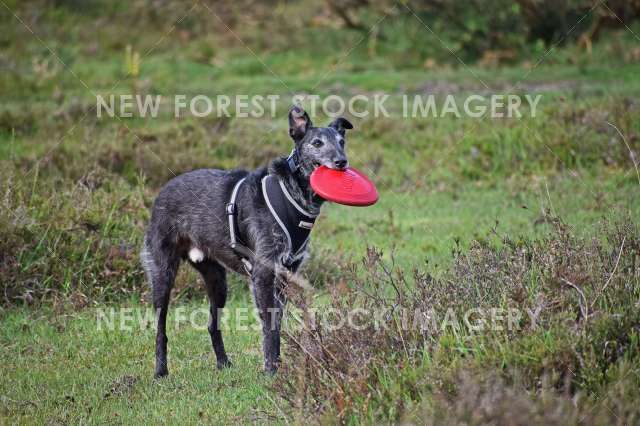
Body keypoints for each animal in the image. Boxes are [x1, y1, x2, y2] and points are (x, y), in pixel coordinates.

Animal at [141, 105, 352, 376]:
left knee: (213, 324)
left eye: (342, 142)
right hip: (162, 273)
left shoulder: (284, 276)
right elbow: (269, 327)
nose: (342, 162)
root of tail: (163, 190)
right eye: (317, 143)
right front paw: (271, 371)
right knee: (160, 328)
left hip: (217, 280)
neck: (291, 192)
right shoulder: (263, 273)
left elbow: (275, 323)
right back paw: (161, 370)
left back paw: (223, 363)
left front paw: (276, 366)